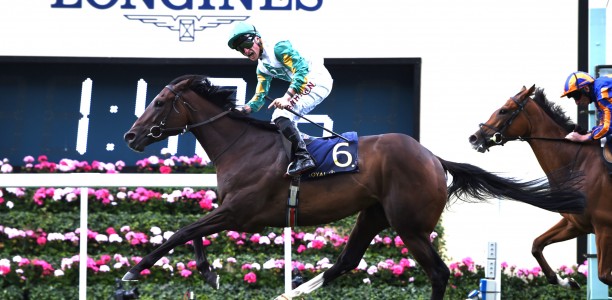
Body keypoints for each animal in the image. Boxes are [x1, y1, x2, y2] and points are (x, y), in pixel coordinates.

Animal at [123, 75, 584, 300]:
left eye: (159, 103)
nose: (130, 136)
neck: (244, 144)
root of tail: (434, 158)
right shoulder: (231, 211)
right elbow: (191, 234)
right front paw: (209, 273)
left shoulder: (240, 212)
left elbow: (181, 232)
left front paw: (130, 273)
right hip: (374, 214)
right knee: (345, 262)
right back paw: (295, 292)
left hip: (409, 226)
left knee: (437, 272)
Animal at [468, 85, 612, 288]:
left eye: (504, 110)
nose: (474, 137)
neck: (580, 163)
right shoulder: (576, 223)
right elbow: (536, 245)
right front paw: (566, 281)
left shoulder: (604, 227)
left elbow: (605, 276)